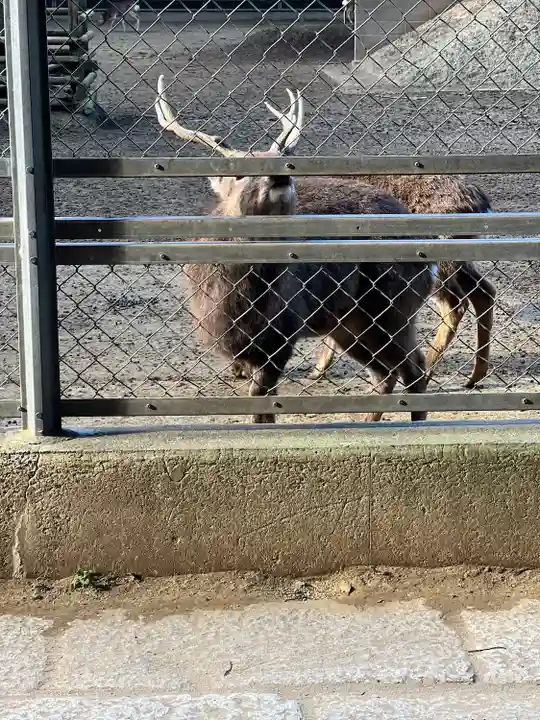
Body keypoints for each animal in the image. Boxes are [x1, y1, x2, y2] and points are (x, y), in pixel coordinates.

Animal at [156, 75, 434, 424]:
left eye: (282, 158)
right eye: (238, 171)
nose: (279, 175)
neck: (237, 301)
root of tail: (430, 264)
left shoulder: (284, 331)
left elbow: (263, 405)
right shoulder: (241, 344)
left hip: (393, 309)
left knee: (415, 368)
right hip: (350, 324)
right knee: (387, 372)